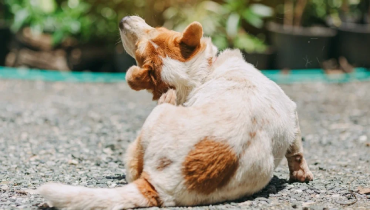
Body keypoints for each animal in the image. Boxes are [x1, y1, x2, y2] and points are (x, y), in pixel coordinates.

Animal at [39, 16, 314, 208]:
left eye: (156, 29)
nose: (122, 20)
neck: (200, 77)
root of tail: (159, 185)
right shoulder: (292, 111)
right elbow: (297, 149)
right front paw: (301, 174)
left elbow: (296, 151)